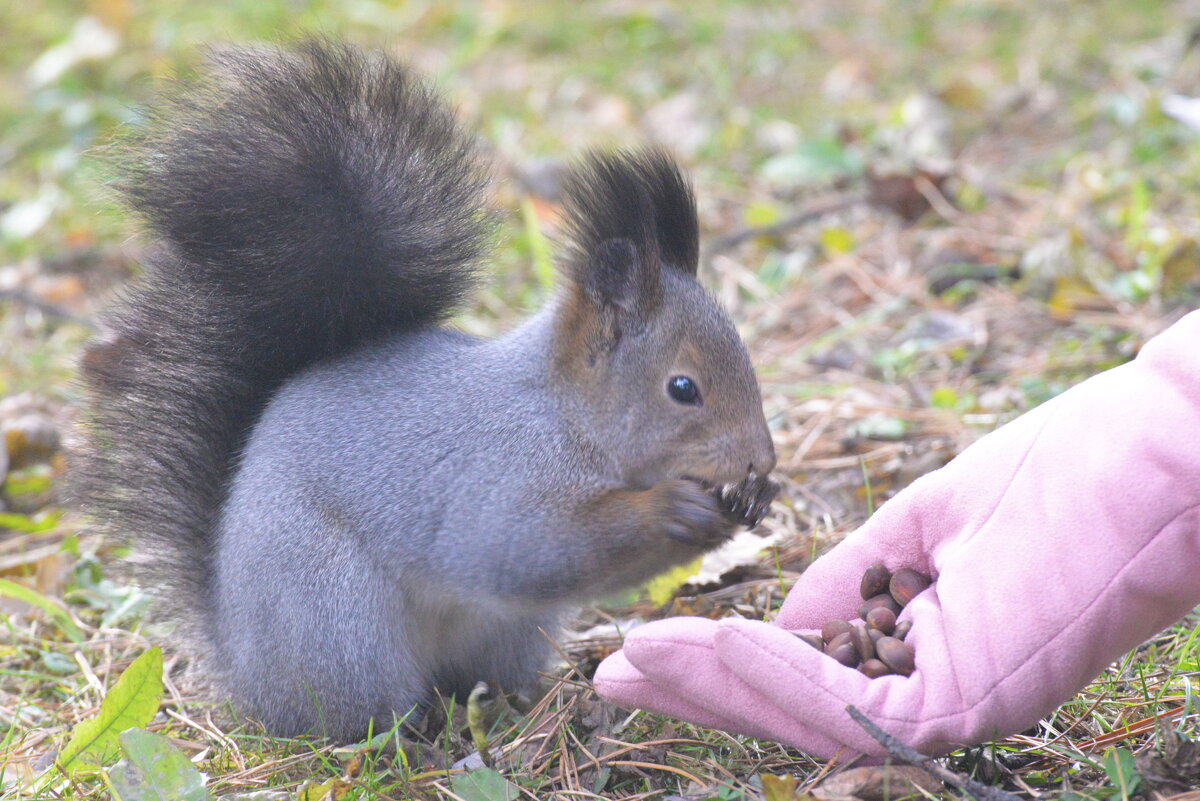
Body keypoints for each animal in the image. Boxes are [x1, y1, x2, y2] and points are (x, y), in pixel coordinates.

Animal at [84, 40, 777, 743]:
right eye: (683, 388)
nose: (763, 459)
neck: (563, 416)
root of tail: (242, 664)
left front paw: (750, 501)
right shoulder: (494, 481)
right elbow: (531, 549)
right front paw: (672, 508)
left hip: (508, 632)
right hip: (339, 623)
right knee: (352, 715)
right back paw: (406, 741)